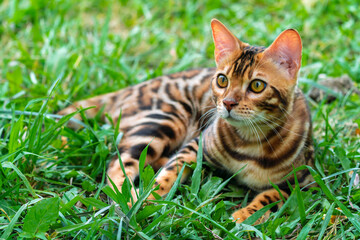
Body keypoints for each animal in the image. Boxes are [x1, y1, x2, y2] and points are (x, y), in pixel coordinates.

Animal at [57, 18, 314, 223]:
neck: (250, 142)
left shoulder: (303, 182)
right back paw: (127, 196)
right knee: (117, 166)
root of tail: (132, 88)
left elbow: (272, 196)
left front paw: (246, 214)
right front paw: (148, 199)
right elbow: (169, 174)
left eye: (257, 85)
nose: (228, 103)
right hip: (166, 120)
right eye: (222, 80)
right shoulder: (197, 145)